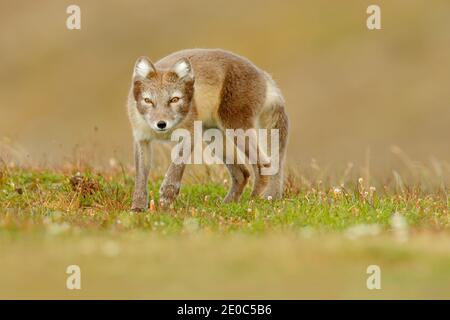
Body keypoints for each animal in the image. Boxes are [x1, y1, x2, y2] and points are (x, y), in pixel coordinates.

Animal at [126, 48, 288, 211]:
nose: (161, 124)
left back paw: (252, 201)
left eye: (174, 99)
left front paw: (167, 196)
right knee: (243, 173)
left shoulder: (191, 134)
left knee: (264, 165)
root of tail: (263, 74)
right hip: (215, 137)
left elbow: (176, 166)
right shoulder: (141, 140)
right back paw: (227, 204)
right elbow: (140, 178)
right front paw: (137, 207)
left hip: (235, 129)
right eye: (148, 101)